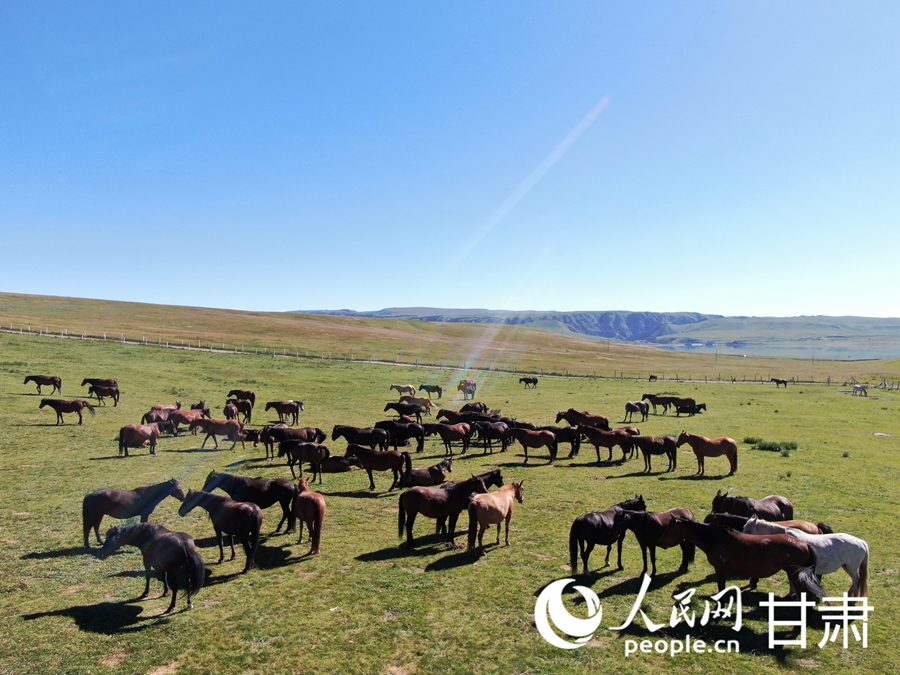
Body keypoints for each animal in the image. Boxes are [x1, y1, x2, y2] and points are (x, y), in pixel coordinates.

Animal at [659, 516, 826, 598]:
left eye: (669, 529)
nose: (661, 543)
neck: (714, 538)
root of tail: (806, 544)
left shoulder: (721, 569)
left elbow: (721, 588)